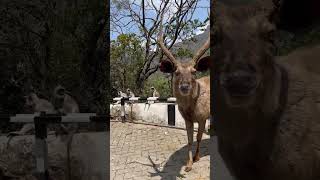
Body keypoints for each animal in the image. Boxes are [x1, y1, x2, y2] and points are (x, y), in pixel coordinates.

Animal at [157, 17, 211, 172]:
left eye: (194, 71)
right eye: (176, 72)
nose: (185, 86)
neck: (191, 110)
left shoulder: (203, 116)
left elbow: (199, 137)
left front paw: (197, 157)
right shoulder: (187, 119)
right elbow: (189, 140)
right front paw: (188, 164)